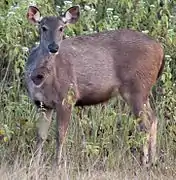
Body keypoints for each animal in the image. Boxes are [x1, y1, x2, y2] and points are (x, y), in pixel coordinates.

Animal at [25, 4, 164, 167]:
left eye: (61, 28)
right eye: (43, 27)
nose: (54, 47)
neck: (42, 78)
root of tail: (160, 48)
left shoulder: (67, 98)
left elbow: (60, 135)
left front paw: (57, 165)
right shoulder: (42, 103)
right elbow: (40, 136)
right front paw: (34, 164)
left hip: (137, 88)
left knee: (145, 125)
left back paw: (144, 162)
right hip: (143, 92)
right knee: (153, 118)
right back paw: (153, 161)